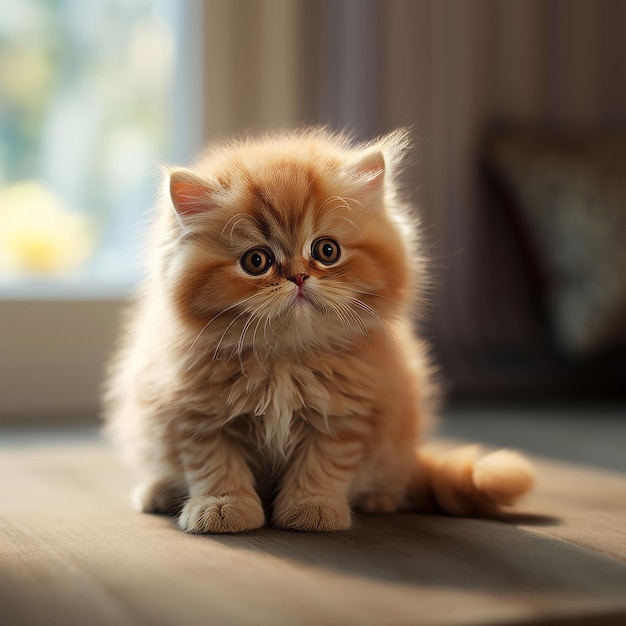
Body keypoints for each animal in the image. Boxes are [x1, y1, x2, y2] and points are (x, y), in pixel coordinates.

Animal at [103, 128, 532, 532]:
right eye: (256, 261)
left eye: (327, 251)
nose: (298, 276)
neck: (284, 358)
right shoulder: (196, 416)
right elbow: (216, 466)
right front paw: (223, 508)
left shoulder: (346, 415)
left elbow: (322, 465)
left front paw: (311, 510)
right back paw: (158, 491)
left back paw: (379, 498)